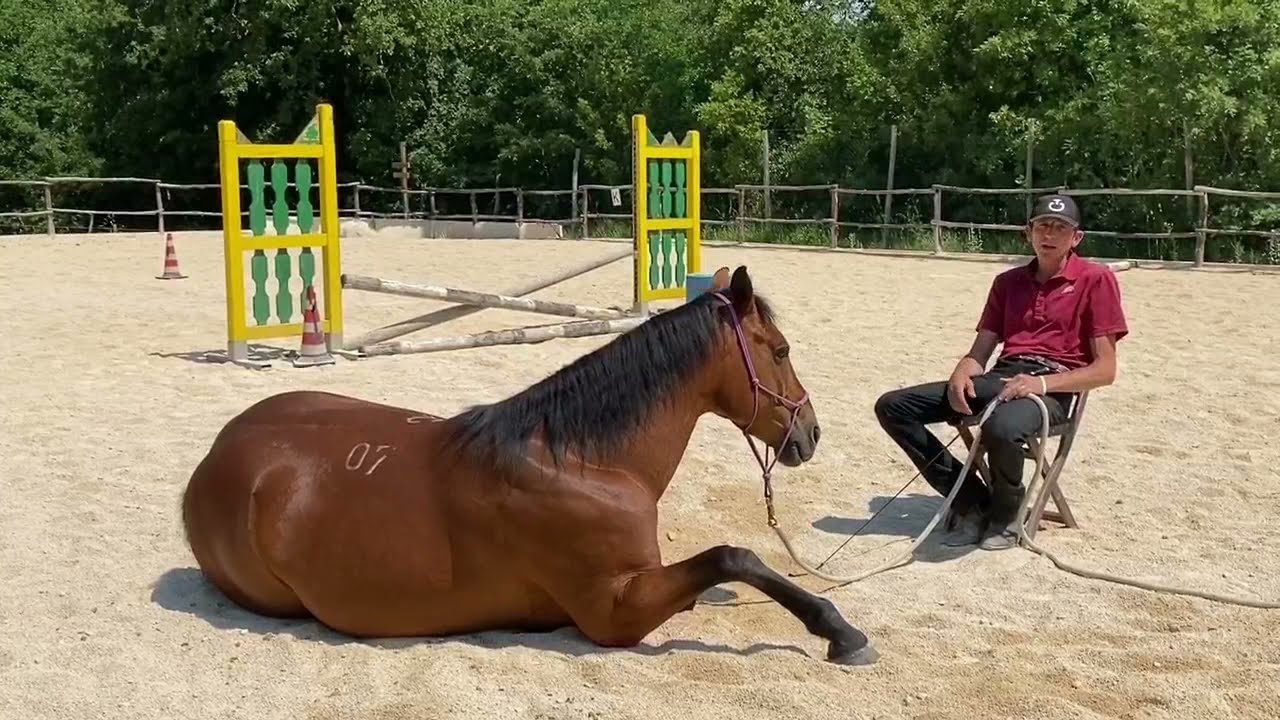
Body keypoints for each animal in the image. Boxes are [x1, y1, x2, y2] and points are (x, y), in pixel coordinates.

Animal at [180, 265, 878, 665]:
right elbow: (736, 556)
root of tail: (219, 450)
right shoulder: (613, 613)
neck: (584, 463)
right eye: (780, 350)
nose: (811, 433)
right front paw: (839, 631)